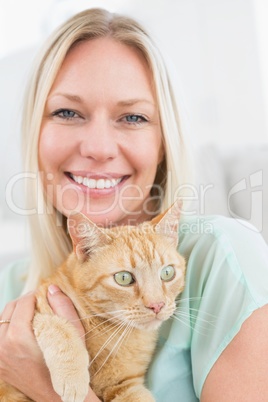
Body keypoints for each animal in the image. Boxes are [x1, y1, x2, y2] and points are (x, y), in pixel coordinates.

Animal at [0, 201, 186, 402]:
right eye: (123, 278)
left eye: (167, 273)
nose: (157, 305)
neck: (109, 330)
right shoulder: (40, 303)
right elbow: (60, 329)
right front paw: (72, 378)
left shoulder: (124, 386)